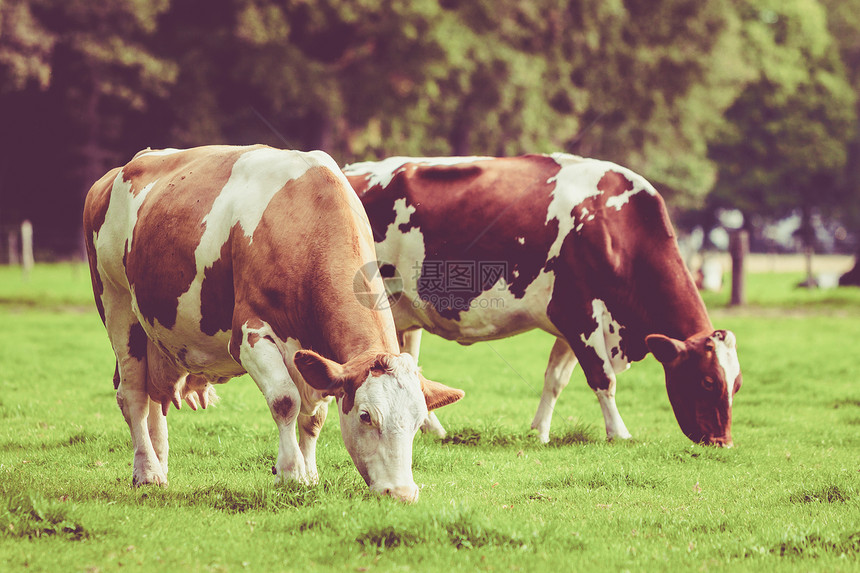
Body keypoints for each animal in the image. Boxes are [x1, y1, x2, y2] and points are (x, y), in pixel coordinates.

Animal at [84, 144, 464, 500]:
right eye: (366, 416)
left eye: (418, 423)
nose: (401, 493)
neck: (306, 225)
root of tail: (119, 171)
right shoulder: (250, 335)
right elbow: (286, 400)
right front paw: (290, 473)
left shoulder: (321, 360)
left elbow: (315, 417)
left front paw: (310, 473)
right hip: (118, 306)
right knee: (132, 395)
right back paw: (147, 471)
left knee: (155, 399)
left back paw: (158, 467)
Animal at [342, 155, 740, 446]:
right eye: (708, 381)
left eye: (736, 384)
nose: (722, 442)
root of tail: (351, 169)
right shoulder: (579, 313)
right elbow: (603, 378)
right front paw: (619, 433)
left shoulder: (570, 326)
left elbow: (555, 380)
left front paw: (539, 432)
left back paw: (434, 429)